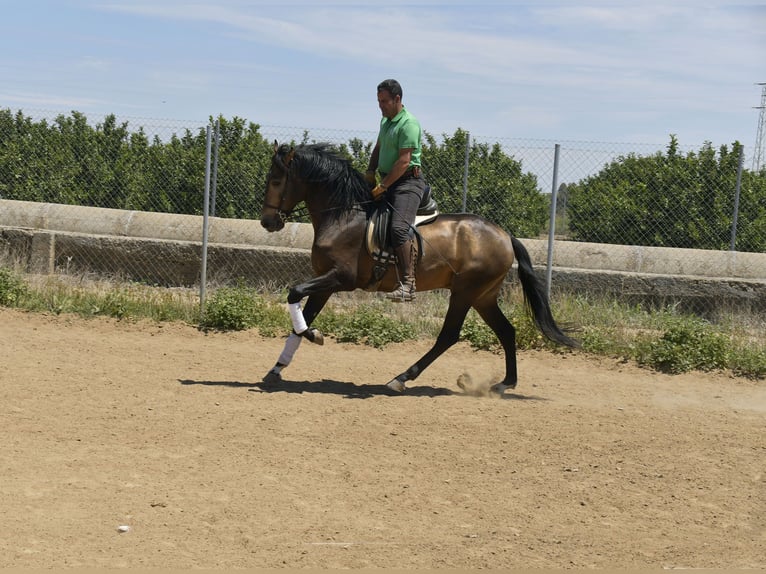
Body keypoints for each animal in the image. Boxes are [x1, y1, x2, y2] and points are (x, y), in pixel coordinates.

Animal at [260, 142, 580, 398]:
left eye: (275, 181)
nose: (267, 222)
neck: (344, 216)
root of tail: (505, 235)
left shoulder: (341, 278)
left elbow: (294, 294)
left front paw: (314, 335)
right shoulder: (325, 282)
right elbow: (300, 317)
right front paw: (276, 369)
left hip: (465, 292)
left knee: (449, 336)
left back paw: (401, 379)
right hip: (483, 296)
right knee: (506, 331)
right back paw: (503, 384)